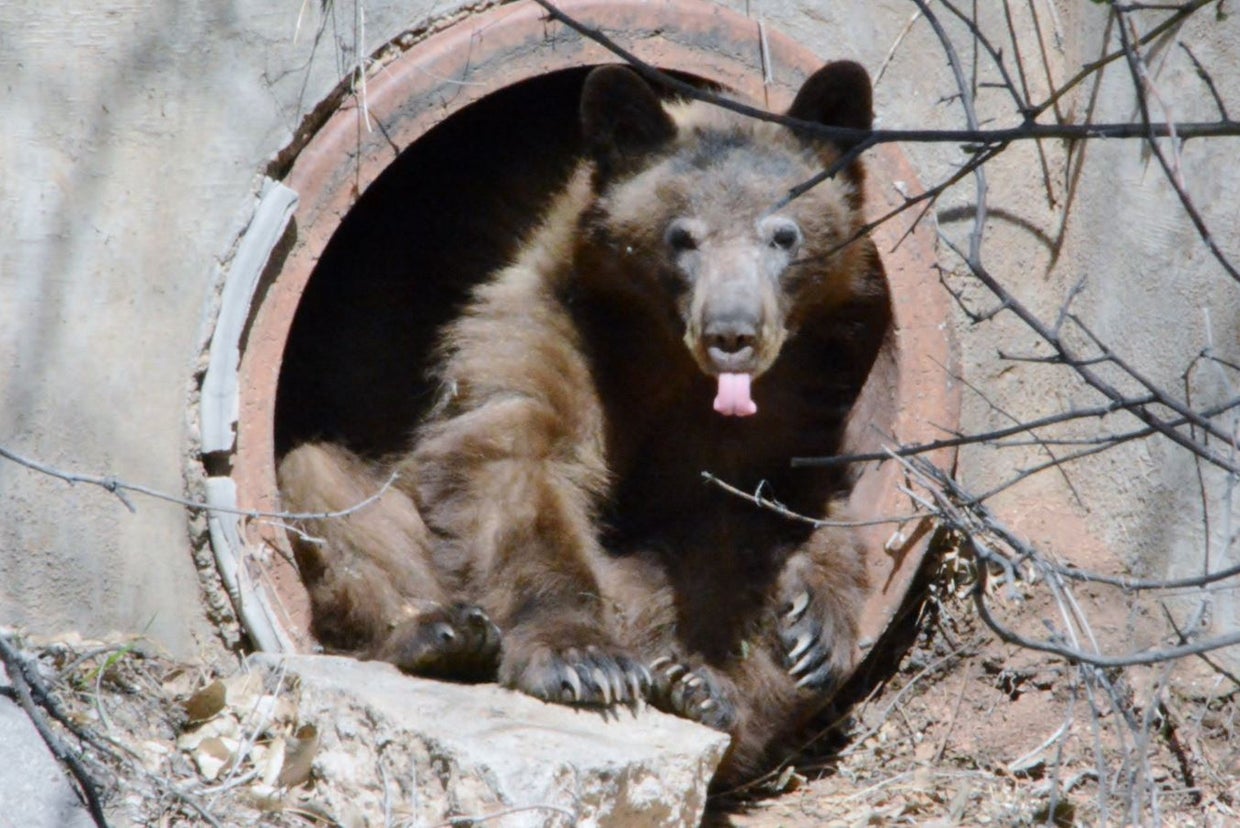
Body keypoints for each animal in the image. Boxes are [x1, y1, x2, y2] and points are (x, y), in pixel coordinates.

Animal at [277, 60, 891, 789]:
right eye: (681, 236)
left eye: (784, 234)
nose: (732, 333)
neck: (664, 359)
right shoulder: (550, 322)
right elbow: (517, 461)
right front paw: (582, 660)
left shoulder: (792, 389)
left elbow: (782, 495)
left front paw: (813, 623)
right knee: (328, 490)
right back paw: (440, 635)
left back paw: (703, 690)